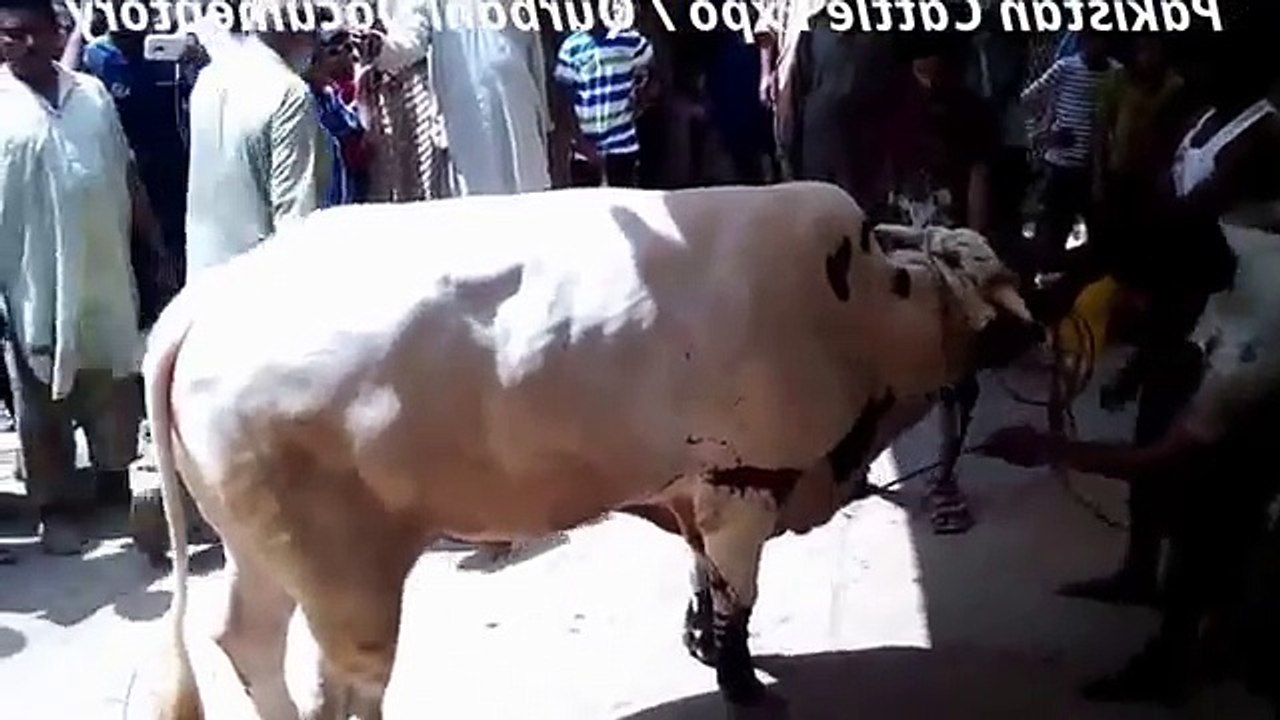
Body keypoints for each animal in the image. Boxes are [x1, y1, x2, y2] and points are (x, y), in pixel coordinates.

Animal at [144, 182, 1037, 719]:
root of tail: (202, 302)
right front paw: (741, 680)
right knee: (342, 684)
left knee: (249, 642)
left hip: (265, 550)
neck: (869, 309)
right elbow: (738, 598)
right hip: (346, 581)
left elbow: (702, 582)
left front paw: (702, 641)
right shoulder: (743, 483)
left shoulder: (693, 489)